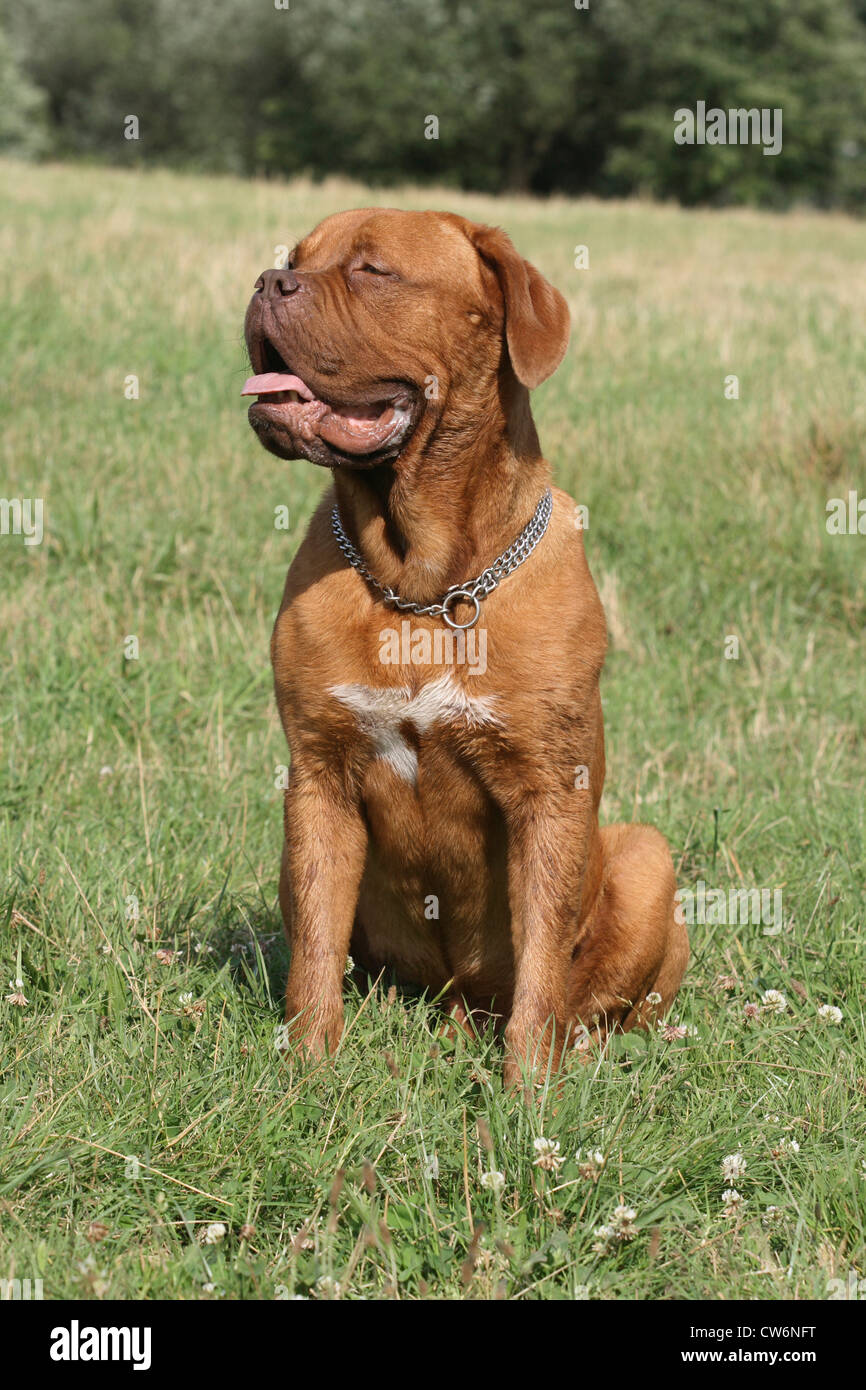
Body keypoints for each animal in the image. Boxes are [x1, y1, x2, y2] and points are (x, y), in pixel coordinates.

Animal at [240, 205, 686, 1078]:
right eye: (294, 260)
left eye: (373, 270)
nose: (269, 282)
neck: (420, 582)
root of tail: (456, 1002)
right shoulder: (318, 776)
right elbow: (315, 945)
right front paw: (307, 1070)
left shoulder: (549, 793)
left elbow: (543, 965)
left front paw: (527, 1092)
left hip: (648, 859)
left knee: (588, 1000)